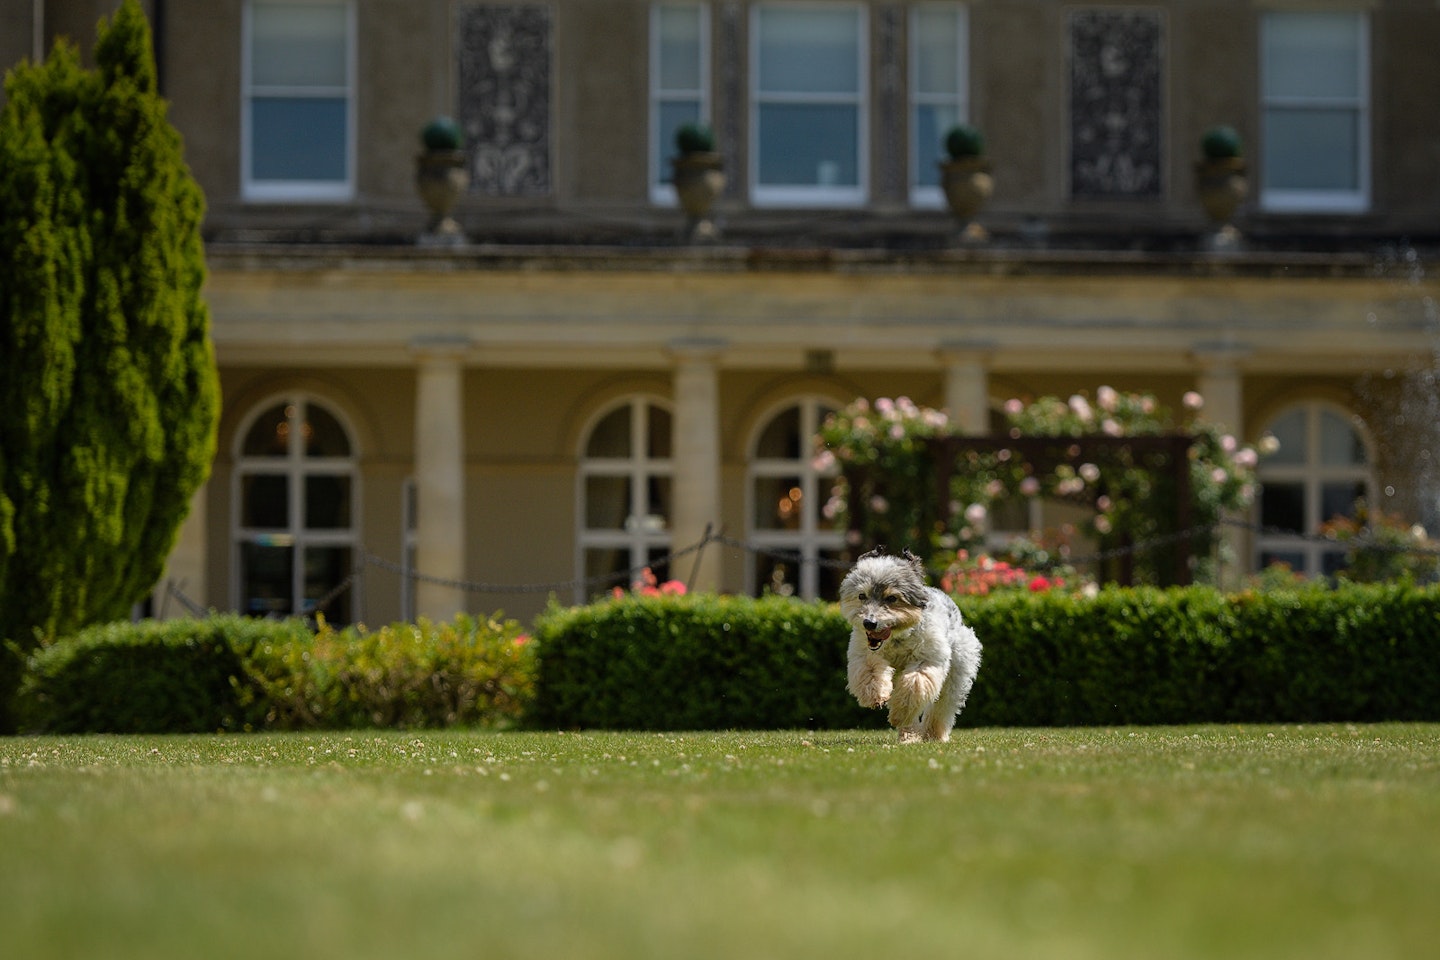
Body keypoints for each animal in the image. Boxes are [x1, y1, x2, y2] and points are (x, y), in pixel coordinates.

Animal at [840, 546, 984, 742]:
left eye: (892, 598)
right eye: (862, 596)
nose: (869, 623)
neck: (897, 638)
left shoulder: (927, 660)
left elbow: (913, 685)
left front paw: (898, 715)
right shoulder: (865, 654)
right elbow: (871, 672)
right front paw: (876, 696)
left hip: (958, 669)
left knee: (943, 705)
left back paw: (932, 734)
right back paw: (910, 735)